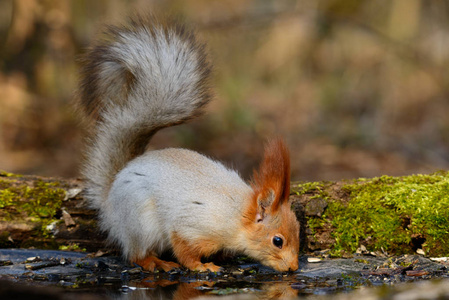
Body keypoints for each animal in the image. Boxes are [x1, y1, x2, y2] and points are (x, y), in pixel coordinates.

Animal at [76, 13, 300, 272]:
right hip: (141, 224)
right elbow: (184, 249)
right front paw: (202, 266)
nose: (293, 267)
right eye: (277, 241)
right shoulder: (191, 225)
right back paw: (156, 262)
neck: (236, 215)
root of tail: (110, 202)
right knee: (136, 255)